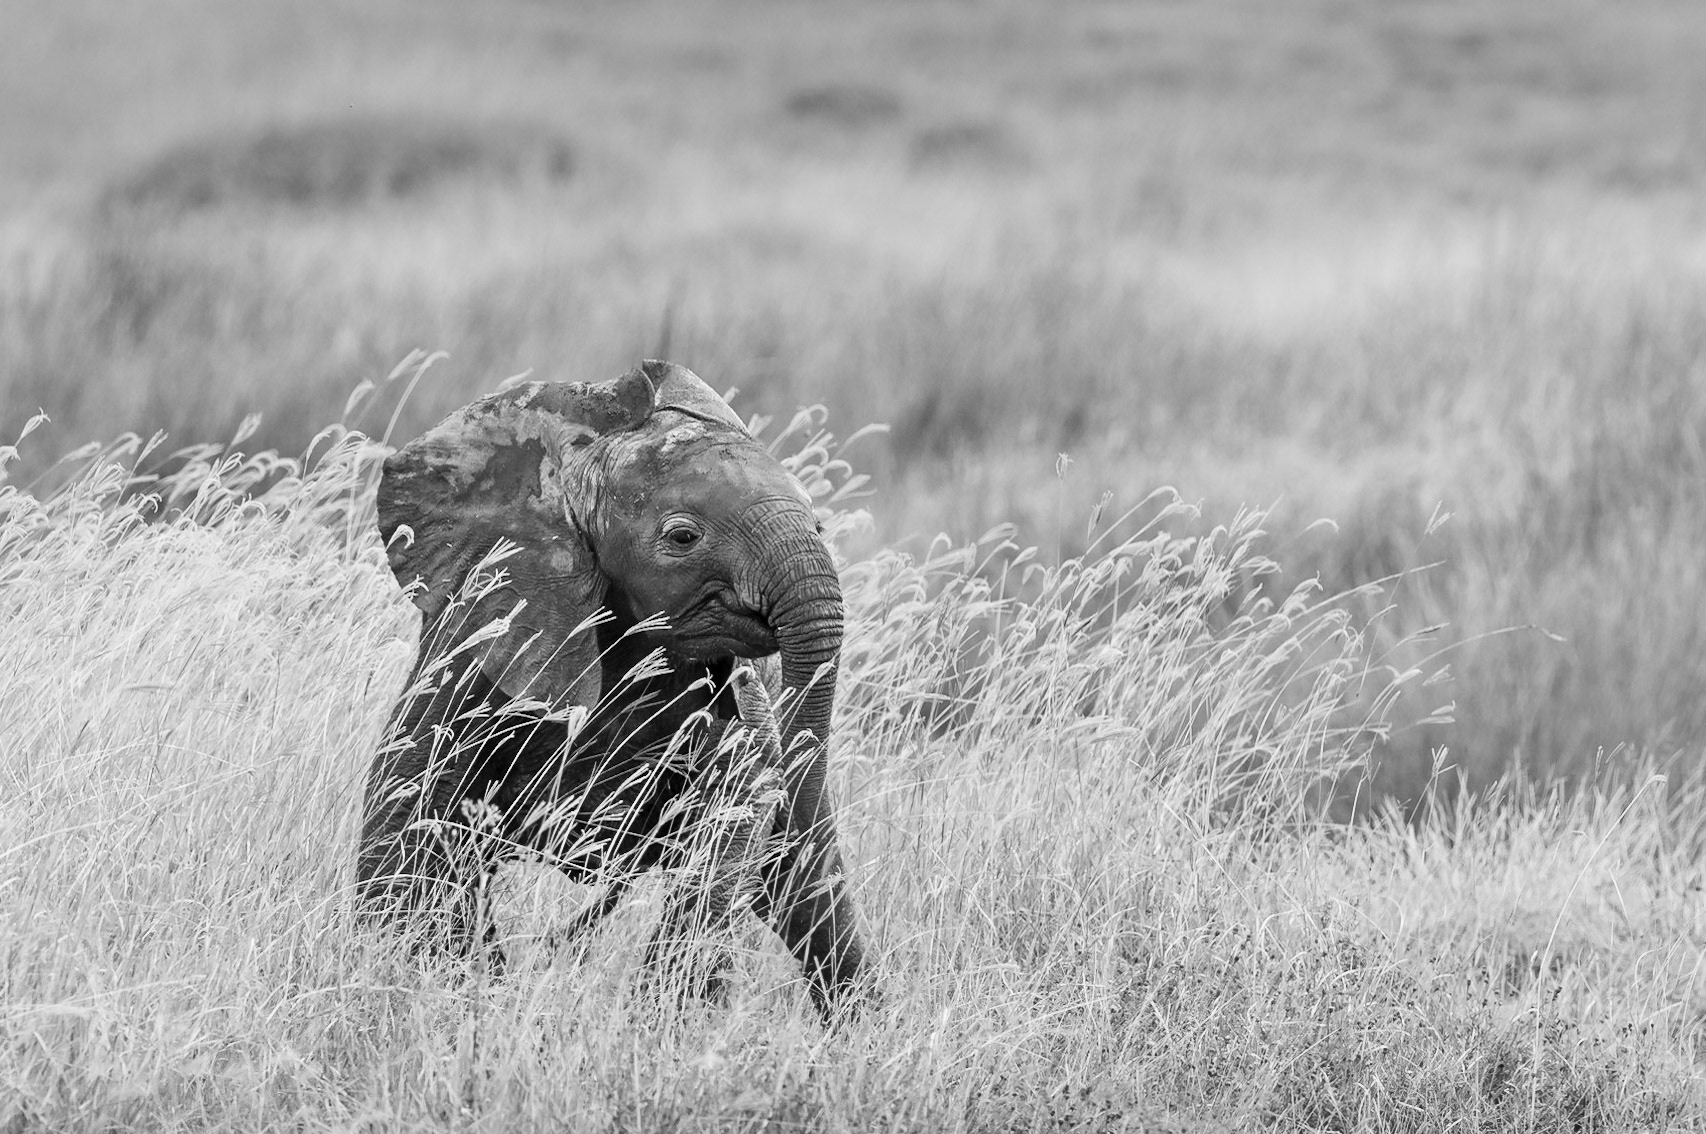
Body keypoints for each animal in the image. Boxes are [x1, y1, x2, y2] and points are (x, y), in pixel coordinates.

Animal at [355, 360, 869, 1015]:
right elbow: (409, 811)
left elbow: (734, 814)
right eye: (683, 538)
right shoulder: (477, 625)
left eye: (820, 524)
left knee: (811, 889)